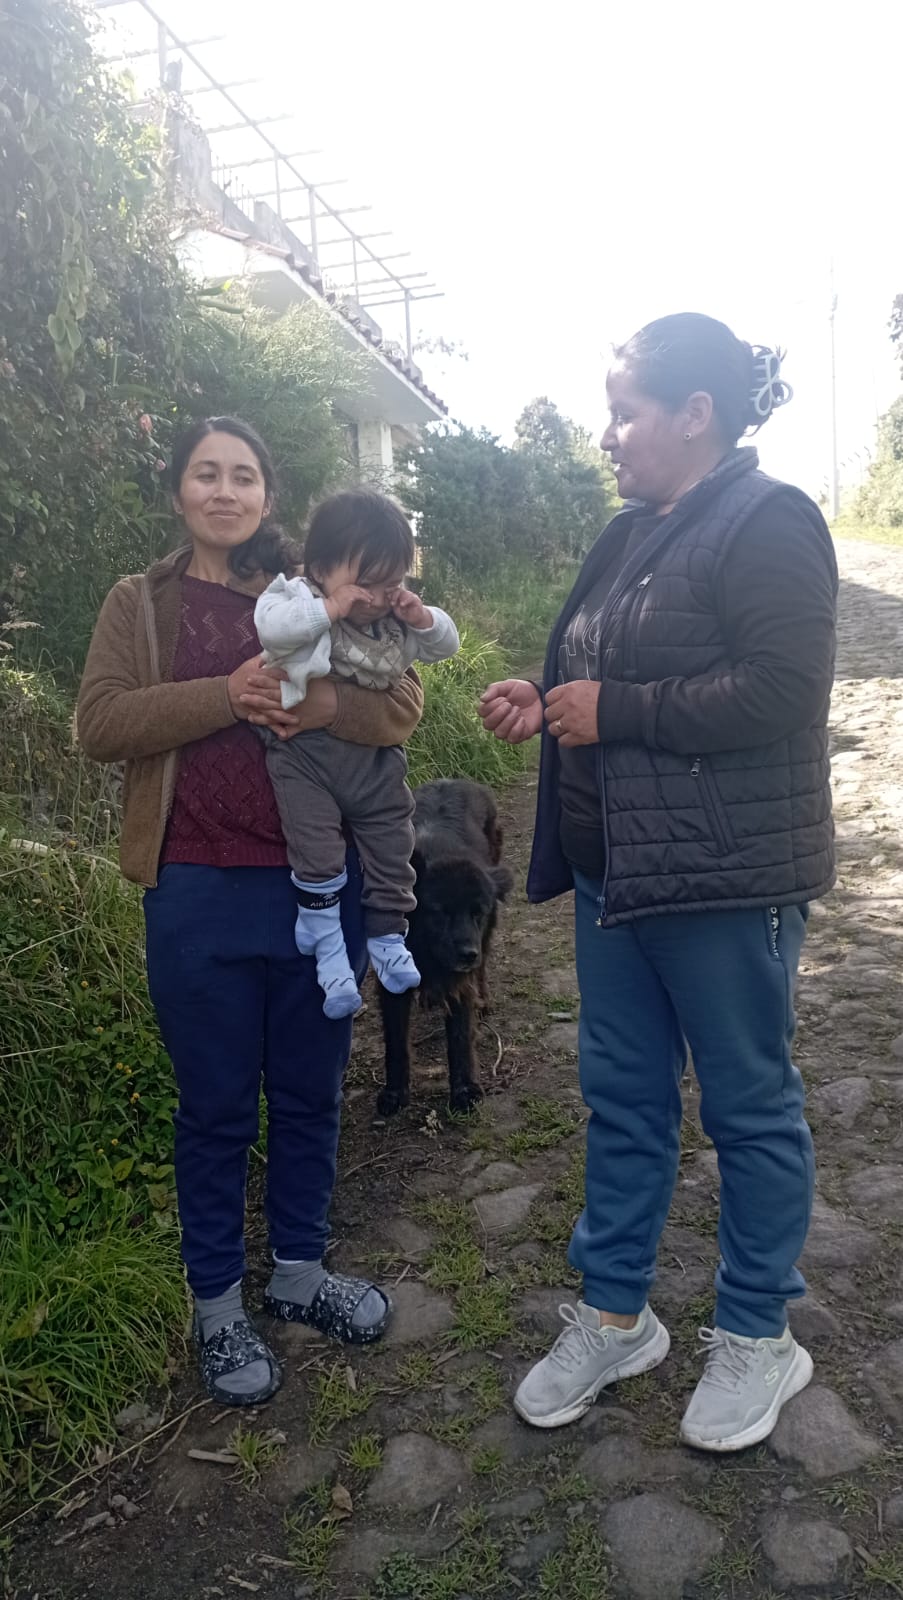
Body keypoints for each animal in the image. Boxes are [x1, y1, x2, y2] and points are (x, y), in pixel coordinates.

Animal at [376, 778, 513, 1116]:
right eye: (440, 912)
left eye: (477, 912)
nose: (467, 955)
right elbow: (396, 1042)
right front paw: (395, 1093)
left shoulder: (460, 978)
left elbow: (461, 1036)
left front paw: (465, 1090)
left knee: (483, 966)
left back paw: (483, 998)